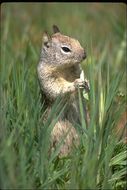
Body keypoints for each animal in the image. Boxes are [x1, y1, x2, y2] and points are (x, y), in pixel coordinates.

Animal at [37, 24, 90, 156]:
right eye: (65, 49)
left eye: (77, 40)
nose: (84, 55)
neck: (64, 68)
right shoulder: (47, 76)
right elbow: (57, 88)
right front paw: (75, 84)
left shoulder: (76, 70)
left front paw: (87, 83)